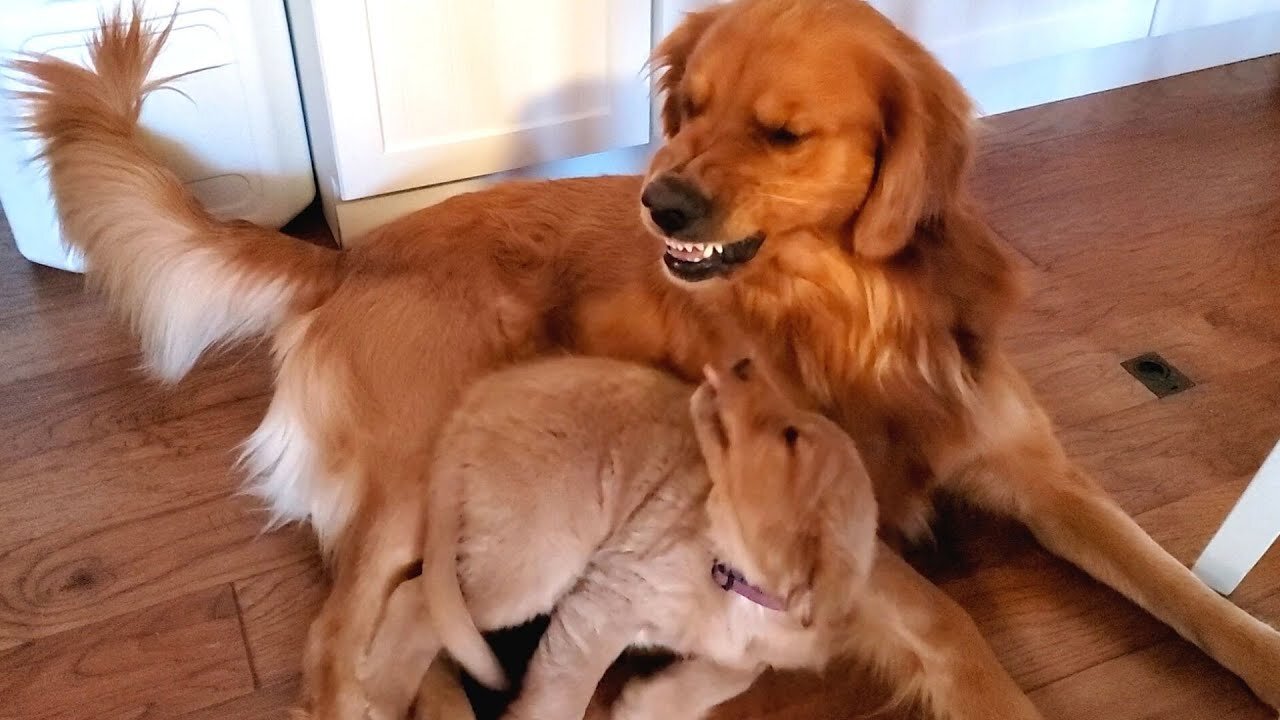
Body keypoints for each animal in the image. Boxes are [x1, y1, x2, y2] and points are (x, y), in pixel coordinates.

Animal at [358, 353, 880, 717]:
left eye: (791, 437)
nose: (744, 360)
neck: (735, 576)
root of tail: (472, 403)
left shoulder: (767, 646)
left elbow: (737, 673)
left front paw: (649, 704)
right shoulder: (611, 595)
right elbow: (566, 690)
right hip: (539, 556)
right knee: (416, 600)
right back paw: (382, 698)